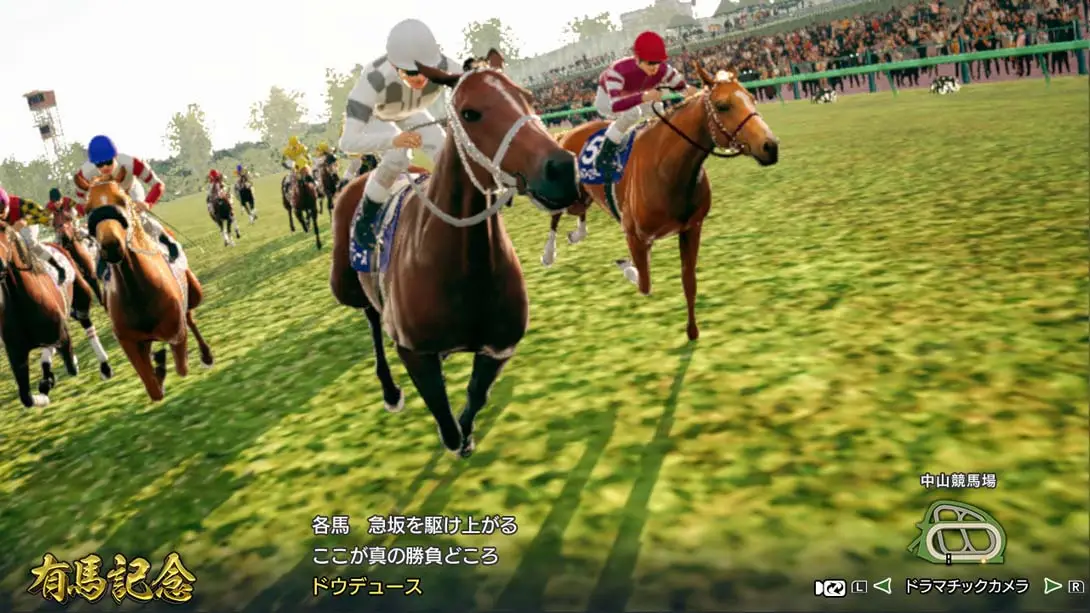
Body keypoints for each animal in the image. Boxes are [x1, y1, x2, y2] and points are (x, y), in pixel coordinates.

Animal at [0, 223, 112, 407]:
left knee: (86, 323)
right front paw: (46, 385)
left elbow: (71, 365)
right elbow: (26, 398)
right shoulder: (17, 355)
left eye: (4, 233)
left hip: (83, 295)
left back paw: (105, 366)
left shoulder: (61, 333)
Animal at [74, 169, 214, 401]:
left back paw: (206, 355)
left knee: (190, 317)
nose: (111, 246)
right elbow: (154, 389)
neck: (138, 292)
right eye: (87, 209)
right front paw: (159, 367)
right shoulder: (129, 343)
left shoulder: (176, 334)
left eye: (122, 200)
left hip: (195, 292)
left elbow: (181, 368)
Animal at [330, 51, 579, 458]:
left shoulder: (499, 347)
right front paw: (453, 437)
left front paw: (467, 435)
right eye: (469, 113)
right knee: (370, 316)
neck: (463, 268)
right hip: (345, 285)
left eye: (528, 97)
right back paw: (390, 391)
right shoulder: (413, 350)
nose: (561, 169)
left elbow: (476, 394)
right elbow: (440, 407)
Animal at [556, 63, 779, 341]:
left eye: (751, 97)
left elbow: (688, 281)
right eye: (722, 106)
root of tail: (568, 132)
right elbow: (644, 284)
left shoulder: (691, 228)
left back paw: (577, 235)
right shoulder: (635, 235)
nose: (770, 146)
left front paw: (692, 330)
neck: (666, 169)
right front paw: (628, 267)